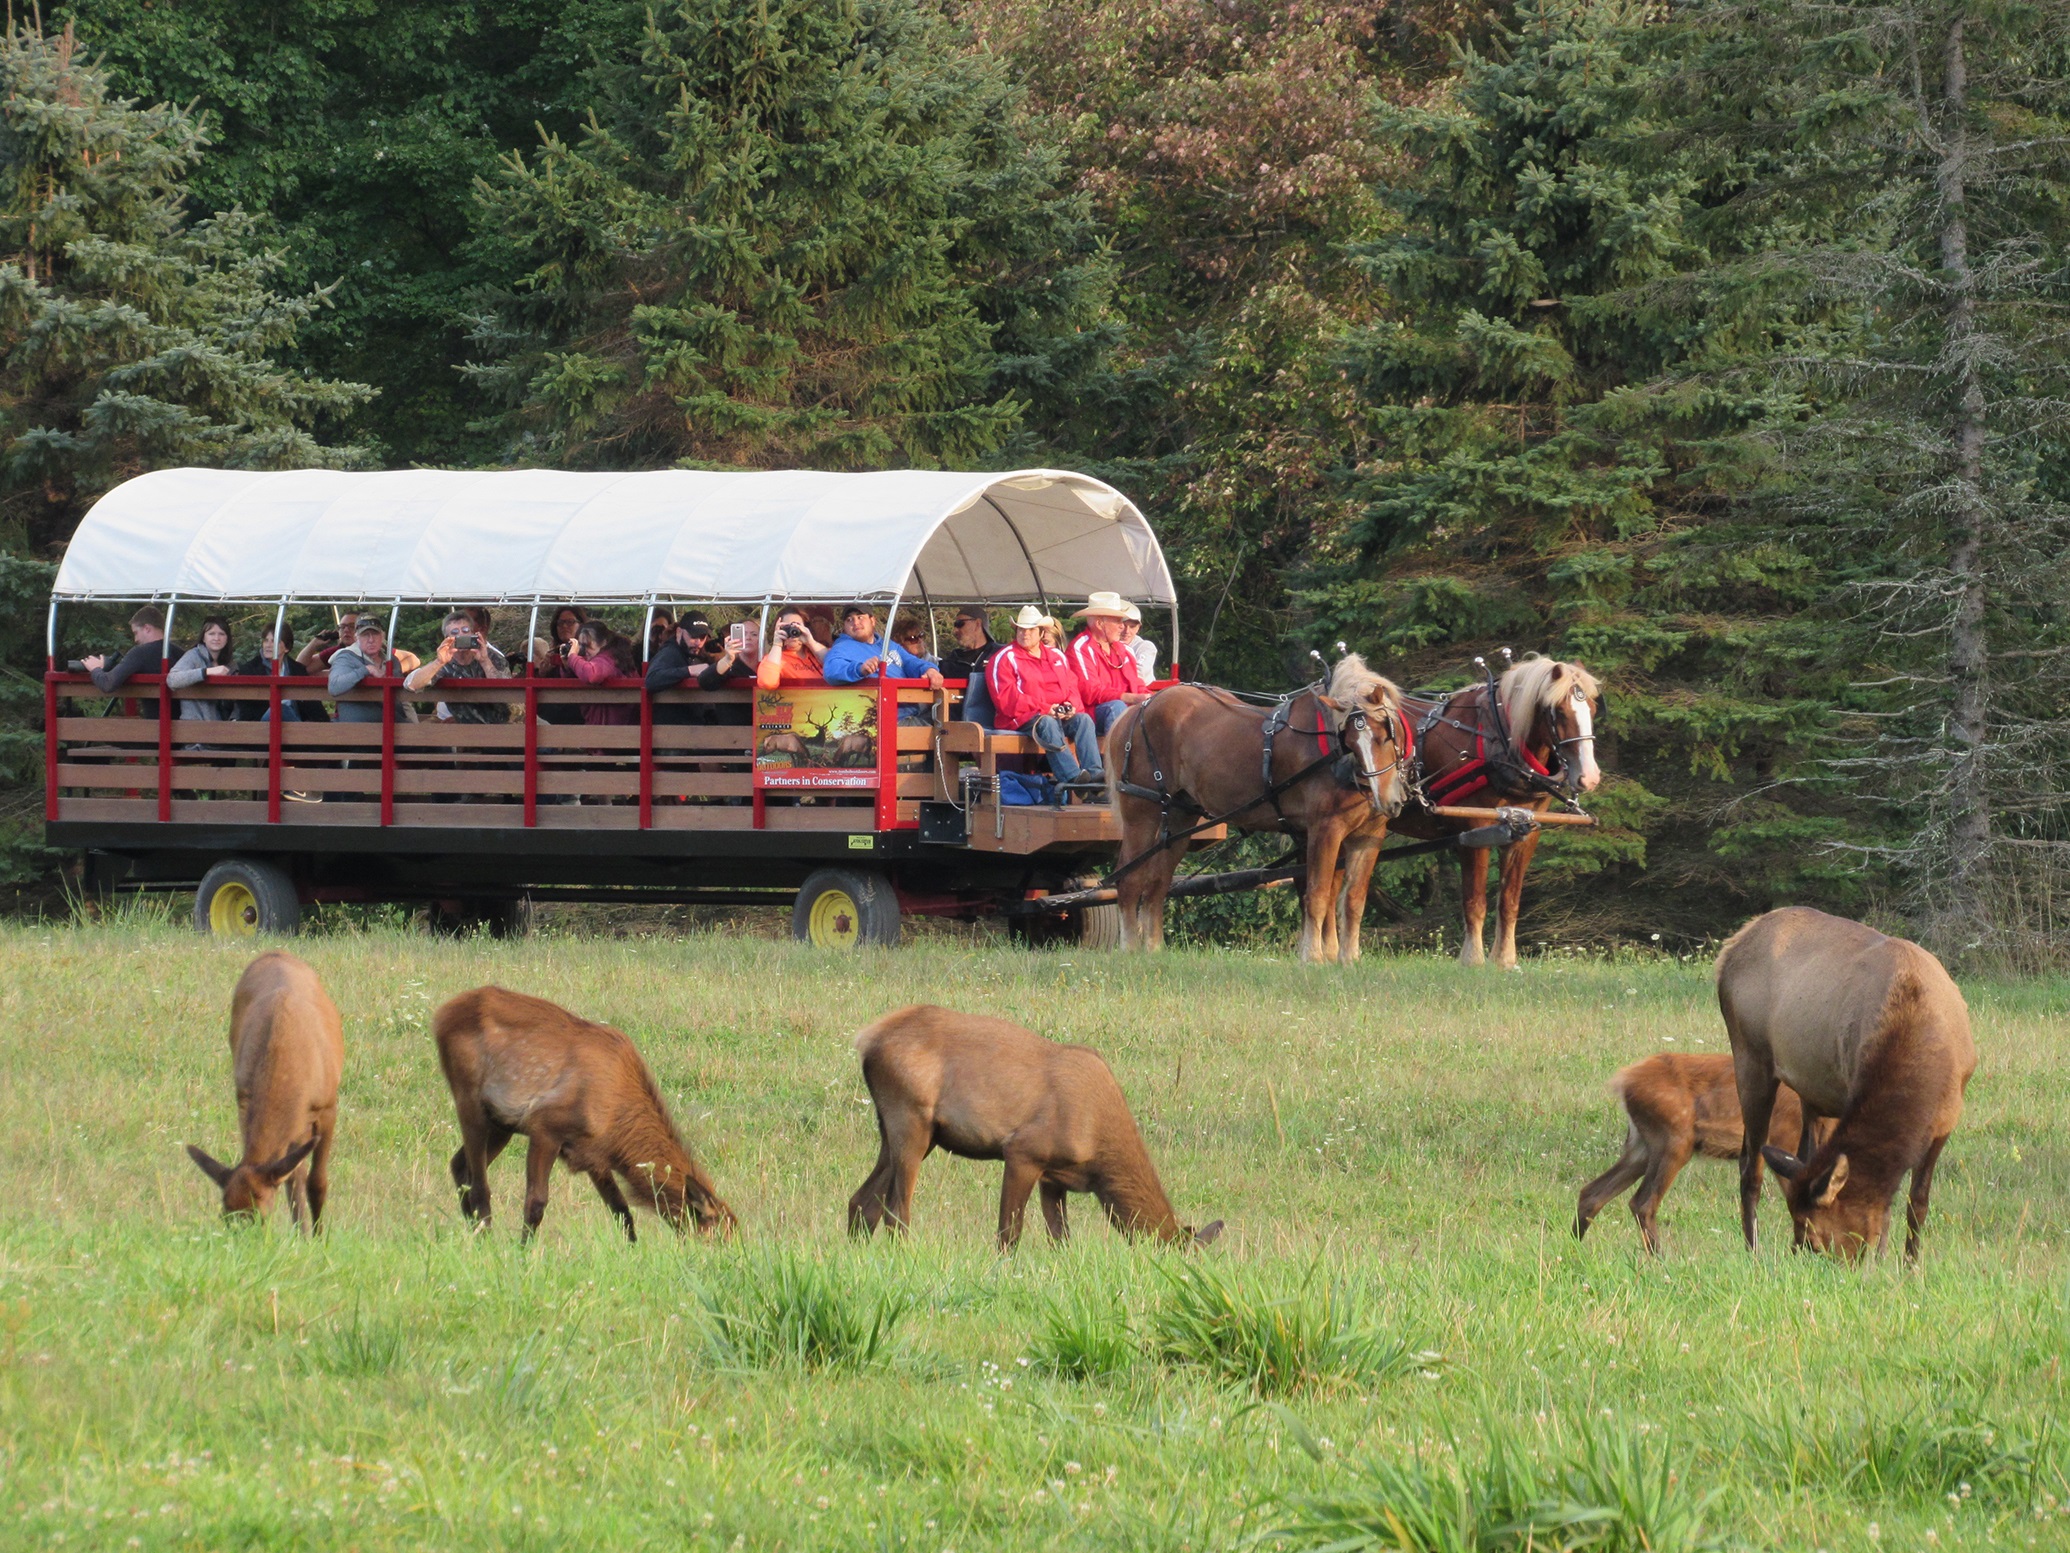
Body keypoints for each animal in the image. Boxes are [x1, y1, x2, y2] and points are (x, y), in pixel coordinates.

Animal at [184, 950, 343, 1231]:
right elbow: (294, 1180)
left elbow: (317, 1183)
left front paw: (318, 1236)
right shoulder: (244, 1101)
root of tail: (275, 953)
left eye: (261, 1216)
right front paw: (301, 1233)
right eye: (225, 1215)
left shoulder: (327, 1107)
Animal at [434, 987, 737, 1243]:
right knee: (478, 1186)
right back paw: (483, 1240)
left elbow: (621, 1210)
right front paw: (523, 1253)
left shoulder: (592, 1153)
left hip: (500, 1122)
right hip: (469, 1100)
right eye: (718, 1238)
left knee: (459, 1165)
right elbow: (535, 1203)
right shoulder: (545, 1128)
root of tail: (439, 1015)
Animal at [847, 1004, 1223, 1250]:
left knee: (862, 1202)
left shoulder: (1054, 1179)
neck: (1099, 1157)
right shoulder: (1023, 1151)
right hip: (911, 1121)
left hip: (902, 1132)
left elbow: (1061, 1239)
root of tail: (866, 1039)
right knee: (896, 1211)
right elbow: (1009, 1233)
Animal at [1574, 1053, 1830, 1254]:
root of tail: (1623, 1080)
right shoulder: (1783, 1138)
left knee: (1592, 1193)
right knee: (1642, 1203)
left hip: (1641, 1146)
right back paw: (1662, 1262)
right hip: (1674, 1138)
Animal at [1717, 907, 1976, 1261]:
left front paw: (1909, 1264)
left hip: (1812, 1090)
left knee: (1800, 1153)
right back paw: (1753, 1251)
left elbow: (1917, 1202)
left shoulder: (1945, 1122)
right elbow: (1888, 1207)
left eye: (1813, 1238)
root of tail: (1731, 947)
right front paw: (1881, 1260)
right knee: (1750, 1165)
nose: (1801, 1253)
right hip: (1750, 1057)